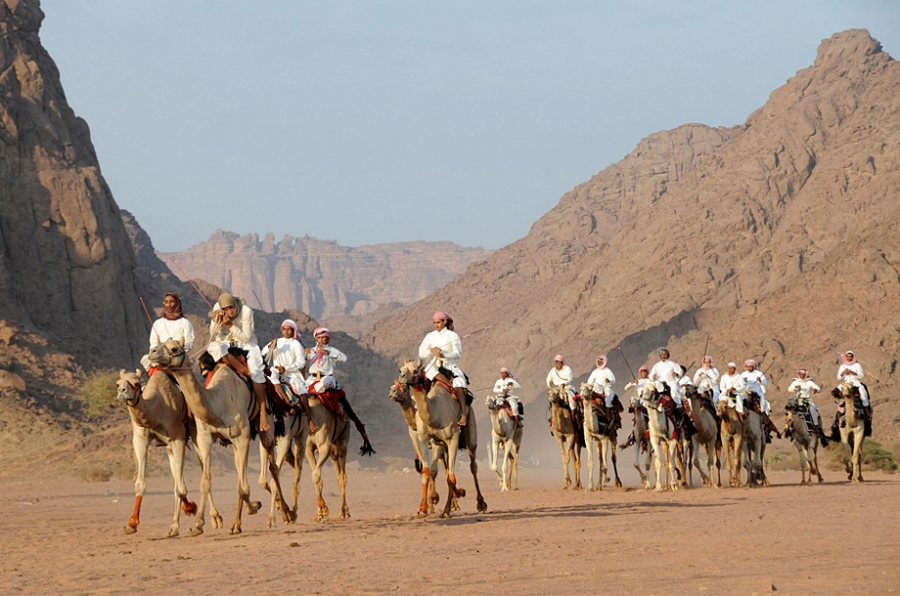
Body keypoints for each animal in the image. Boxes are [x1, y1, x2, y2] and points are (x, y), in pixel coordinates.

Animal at [115, 368, 196, 536]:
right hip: (169, 448)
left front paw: (191, 508)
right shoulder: (140, 439)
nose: (122, 392)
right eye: (117, 384)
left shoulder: (178, 438)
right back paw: (174, 528)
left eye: (136, 383)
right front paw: (131, 524)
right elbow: (140, 483)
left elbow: (180, 487)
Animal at [149, 340, 292, 536]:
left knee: (273, 468)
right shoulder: (204, 438)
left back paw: (286, 514)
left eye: (174, 348)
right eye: (161, 344)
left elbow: (243, 487)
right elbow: (206, 481)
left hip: (267, 427)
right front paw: (198, 524)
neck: (218, 404)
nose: (152, 352)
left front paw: (252, 509)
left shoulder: (243, 437)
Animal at [398, 358, 488, 516]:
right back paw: (446, 507)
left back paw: (481, 503)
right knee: (447, 470)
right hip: (442, 445)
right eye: (400, 369)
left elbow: (451, 477)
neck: (434, 415)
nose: (402, 377)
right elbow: (428, 472)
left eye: (415, 370)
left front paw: (460, 493)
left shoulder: (453, 437)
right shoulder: (425, 439)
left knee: (473, 466)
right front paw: (423, 508)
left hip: (470, 431)